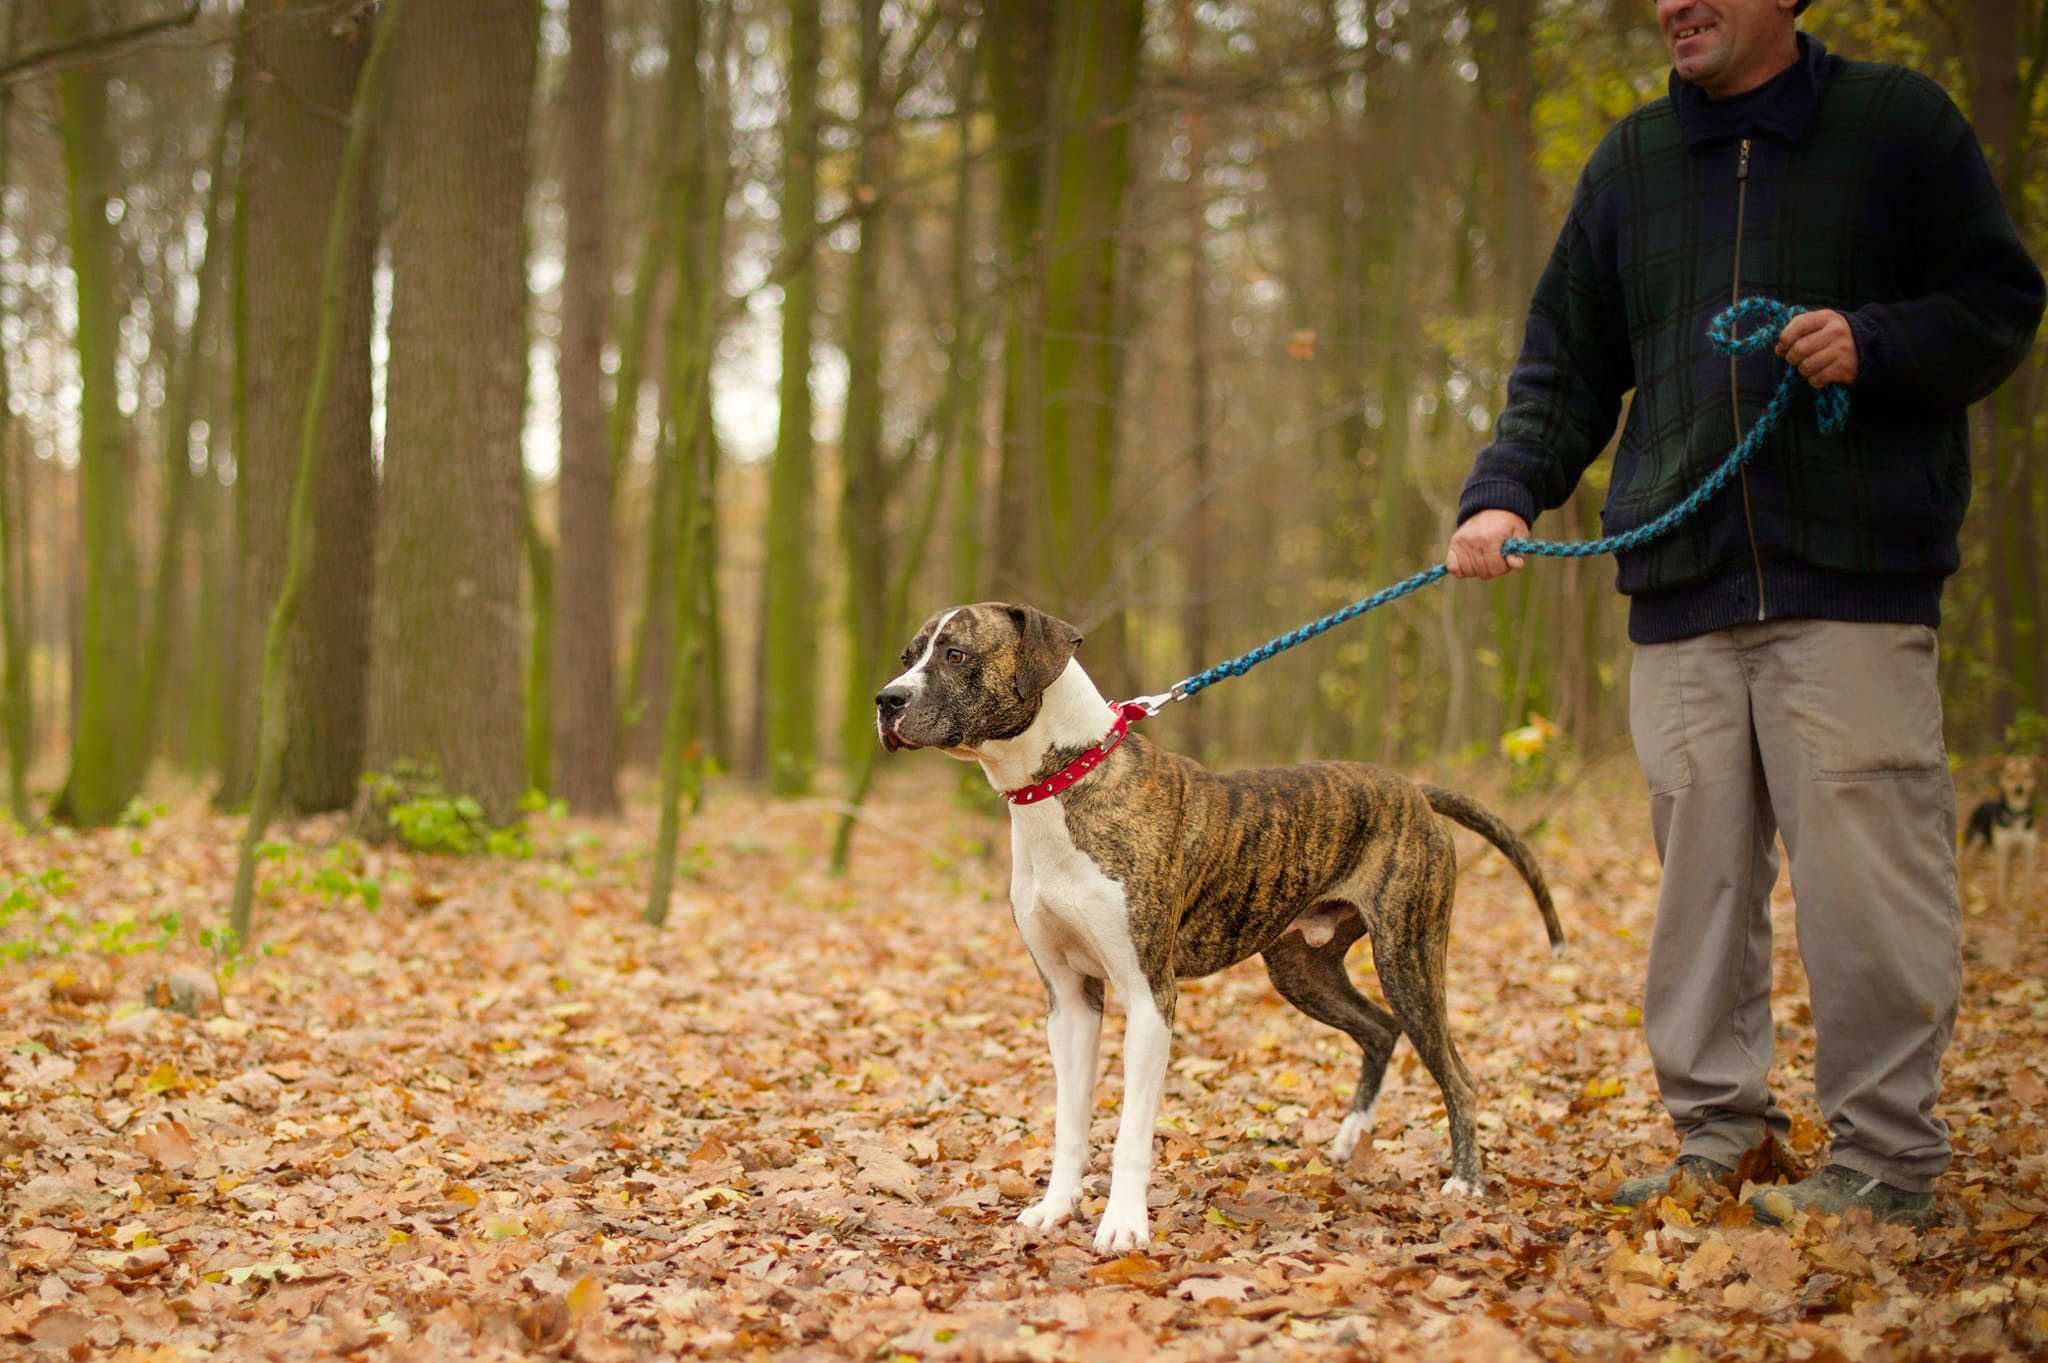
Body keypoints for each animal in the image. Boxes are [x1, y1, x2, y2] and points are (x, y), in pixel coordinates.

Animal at [872, 605, 1556, 1252]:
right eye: (907, 656)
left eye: (956, 654)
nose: (886, 700)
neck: (1064, 782)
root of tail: (1413, 791)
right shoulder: (1068, 999)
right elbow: (1070, 1122)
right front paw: (1056, 1209)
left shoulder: (1150, 996)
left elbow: (1130, 1133)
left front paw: (1124, 1227)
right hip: (1302, 970)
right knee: (1380, 1030)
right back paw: (1349, 1139)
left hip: (1407, 955)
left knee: (1457, 1074)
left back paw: (1465, 1182)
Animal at [1957, 753, 2039, 912]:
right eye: (2010, 775)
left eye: (2027, 775)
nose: (2019, 790)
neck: (2016, 814)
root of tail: (1983, 802)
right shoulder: (2002, 852)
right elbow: (2001, 885)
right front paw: (2004, 908)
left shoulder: (2028, 852)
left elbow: (2027, 885)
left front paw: (2028, 908)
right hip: (1973, 845)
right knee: (1965, 868)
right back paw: (1965, 895)